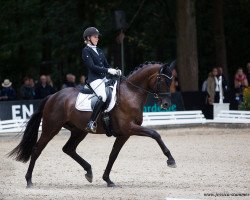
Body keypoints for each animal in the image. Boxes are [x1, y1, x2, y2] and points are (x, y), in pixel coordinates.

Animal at [8, 61, 177, 188]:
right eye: (162, 80)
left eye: (171, 81)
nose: (166, 104)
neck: (131, 93)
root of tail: (52, 96)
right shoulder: (129, 128)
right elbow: (155, 134)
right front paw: (171, 160)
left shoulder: (124, 134)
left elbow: (113, 155)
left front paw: (108, 180)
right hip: (51, 128)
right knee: (37, 149)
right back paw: (29, 180)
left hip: (79, 131)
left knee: (68, 149)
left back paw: (89, 171)